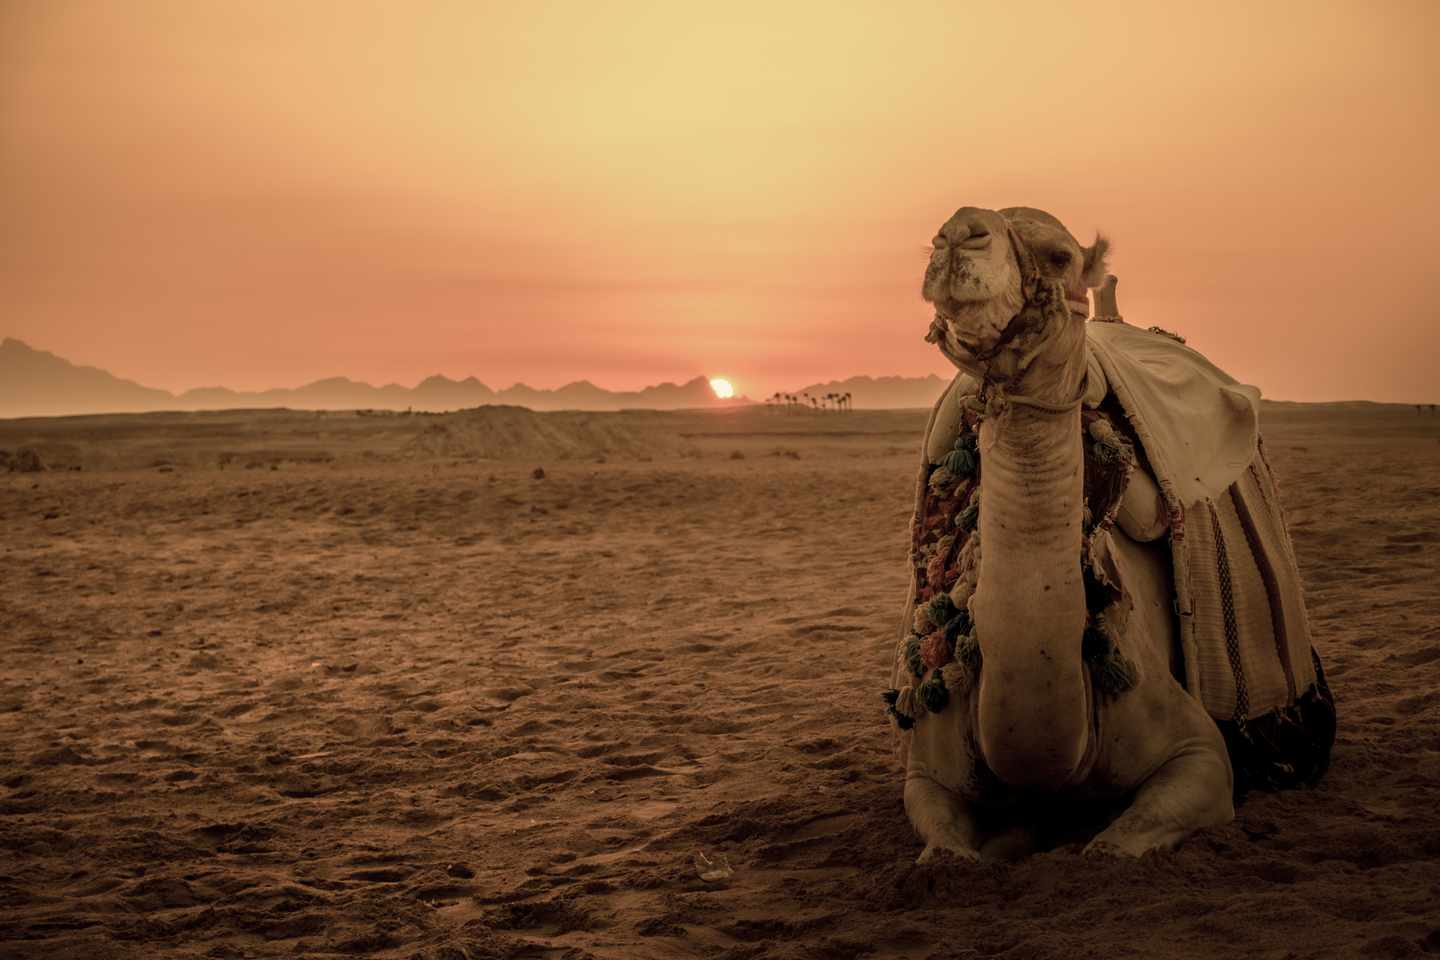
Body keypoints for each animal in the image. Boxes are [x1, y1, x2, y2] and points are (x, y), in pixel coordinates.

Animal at [892, 205, 1244, 861]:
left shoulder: (1200, 753)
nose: (957, 232)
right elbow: (944, 851)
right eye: (941, 234)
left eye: (1059, 255)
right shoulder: (927, 772)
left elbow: (1111, 848)